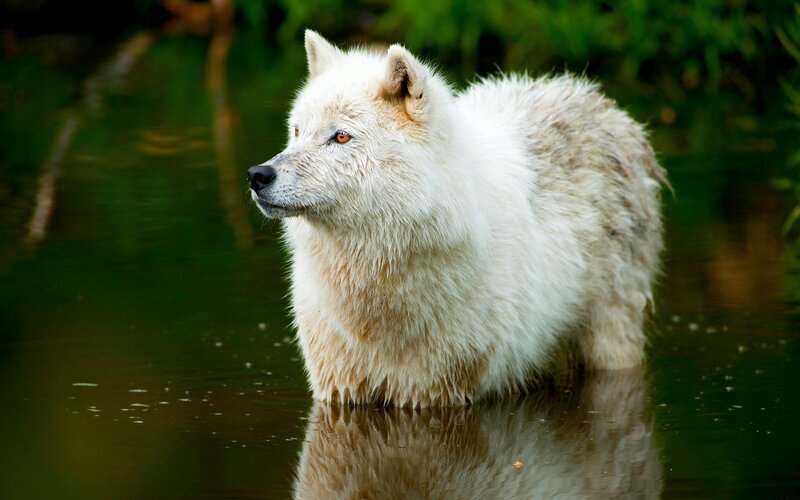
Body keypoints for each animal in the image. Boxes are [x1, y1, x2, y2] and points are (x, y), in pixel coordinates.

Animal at [248, 30, 667, 407]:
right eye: (297, 131)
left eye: (340, 137)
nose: (258, 175)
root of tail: (598, 100)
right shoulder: (338, 386)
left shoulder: (440, 390)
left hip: (610, 339)